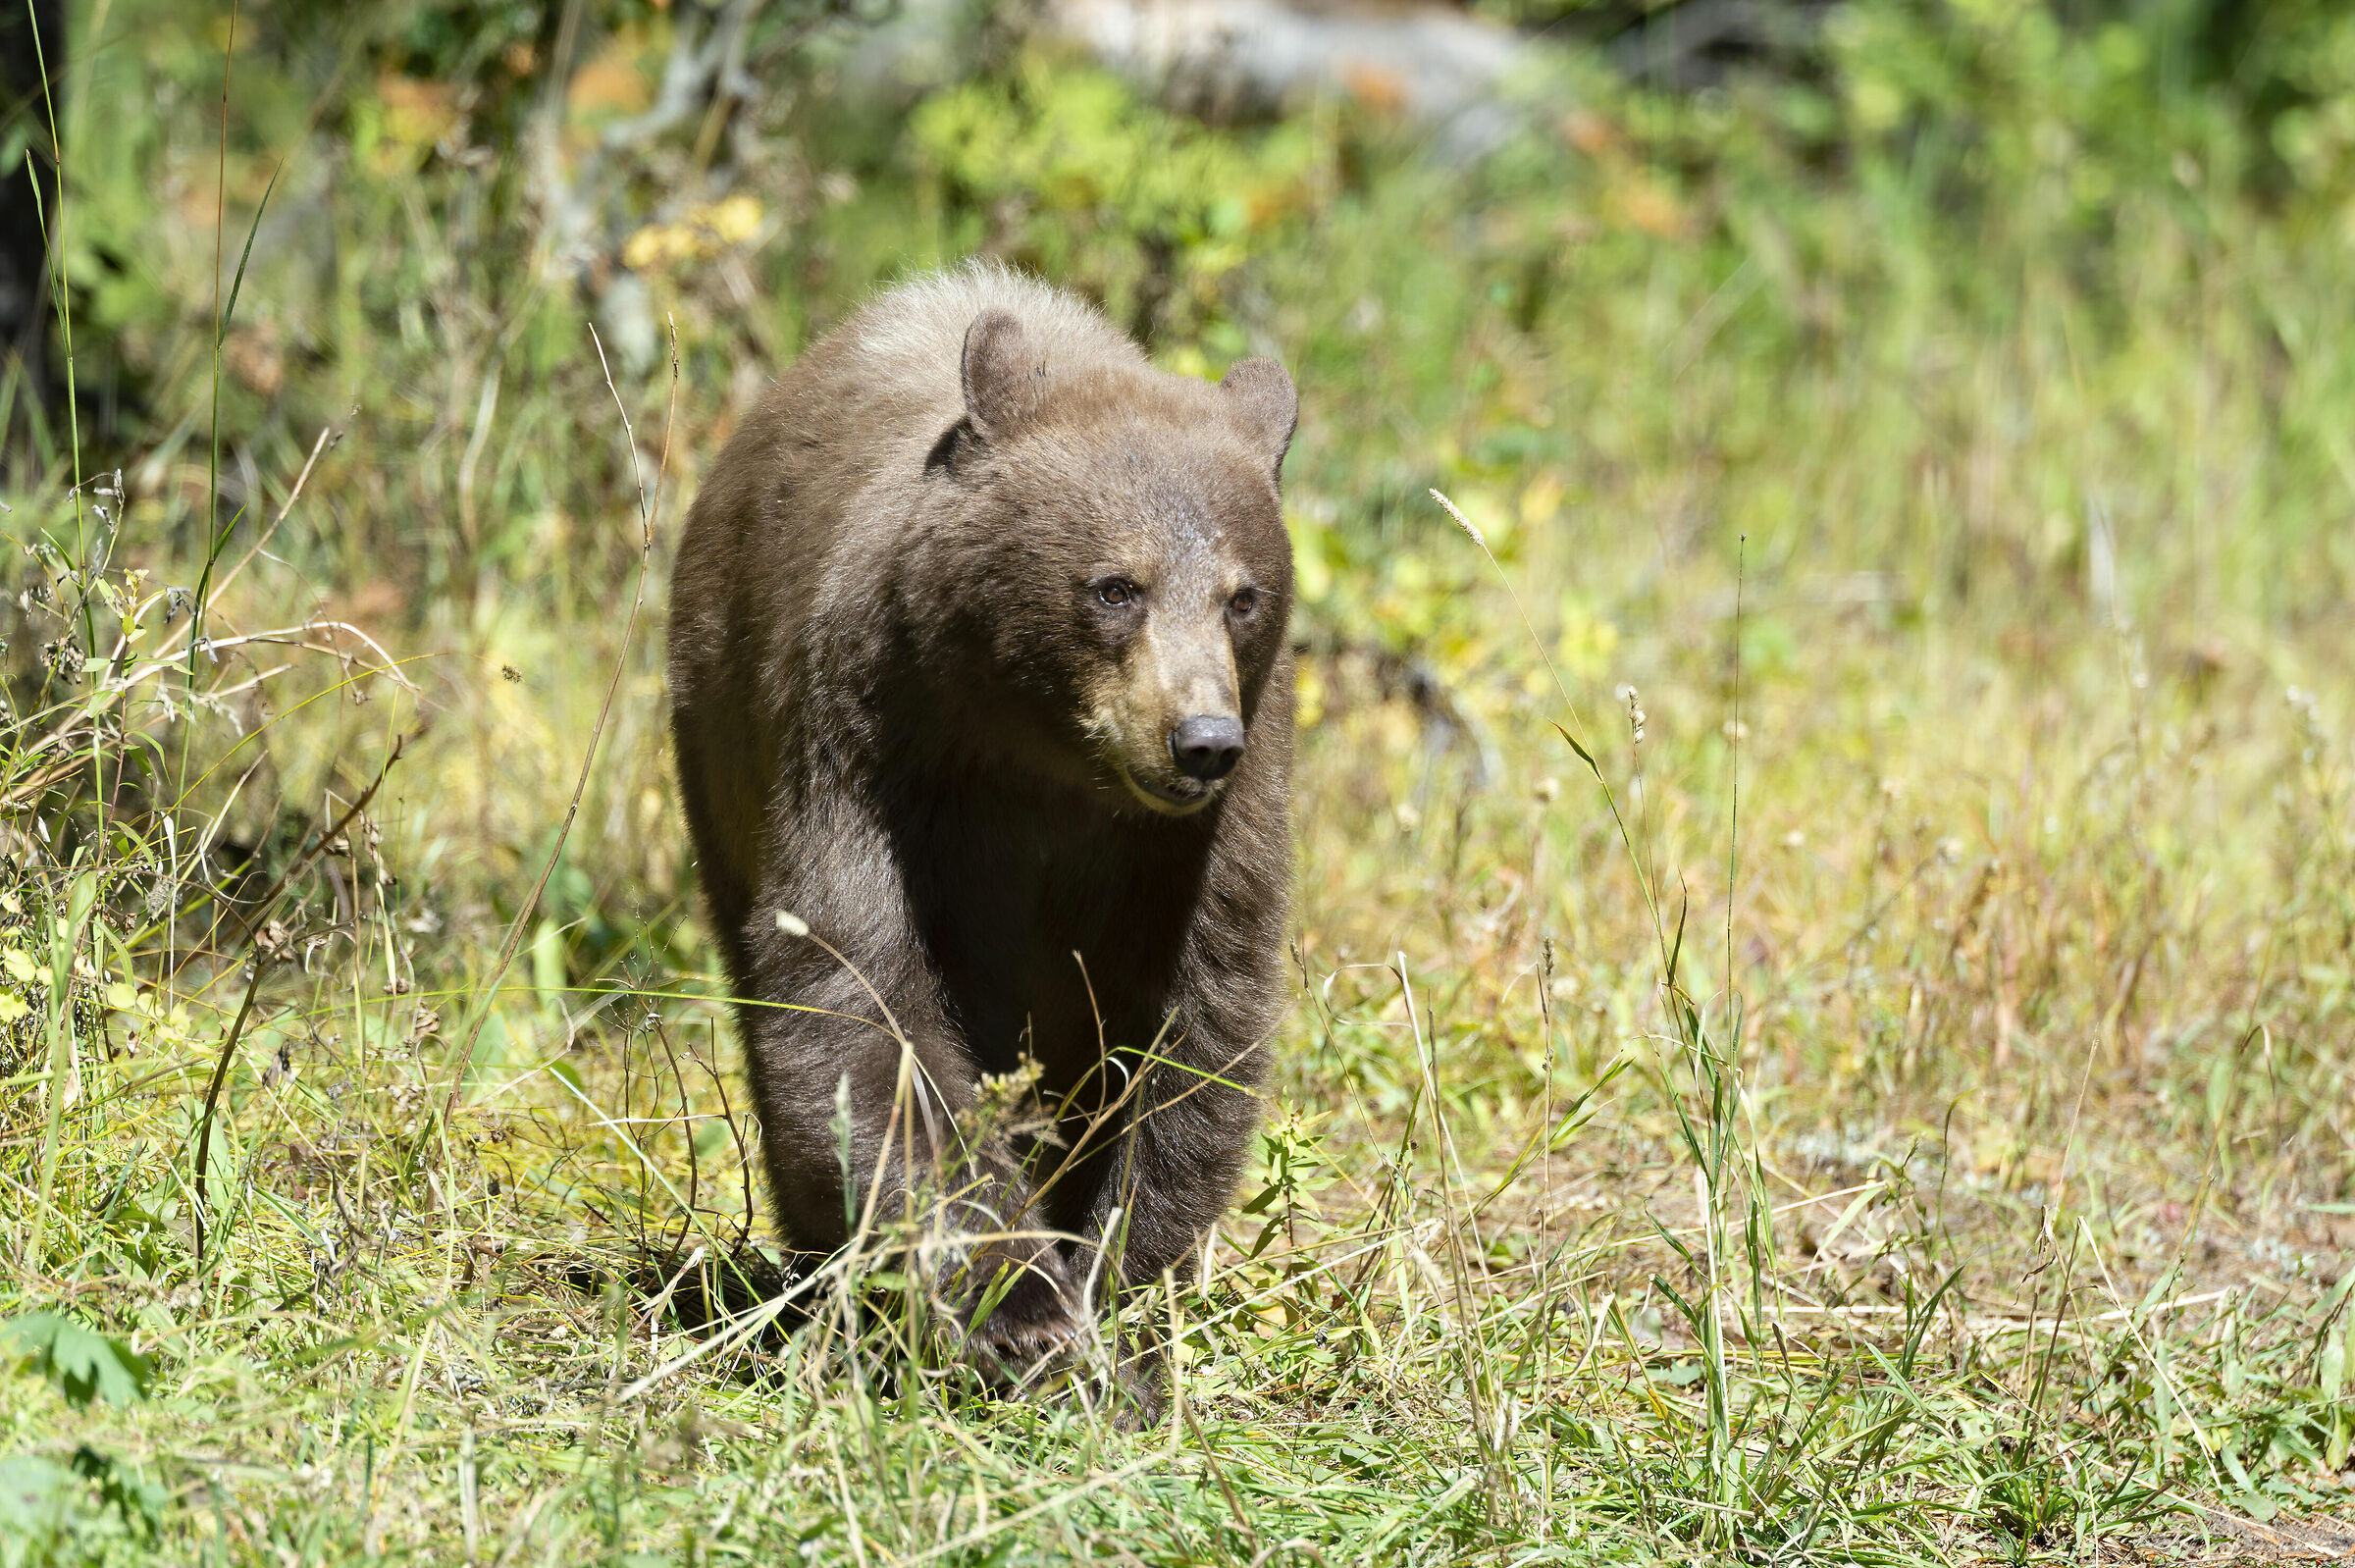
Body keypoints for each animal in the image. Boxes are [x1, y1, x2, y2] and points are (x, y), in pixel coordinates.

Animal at [665, 263, 1298, 1415]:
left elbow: (1196, 1032)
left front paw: (1124, 1305)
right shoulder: (866, 740)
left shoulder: (1205, 834)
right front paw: (1022, 1313)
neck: (1042, 756)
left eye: (1243, 596)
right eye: (1115, 585)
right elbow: (863, 1000)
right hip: (718, 735)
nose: (1200, 743)